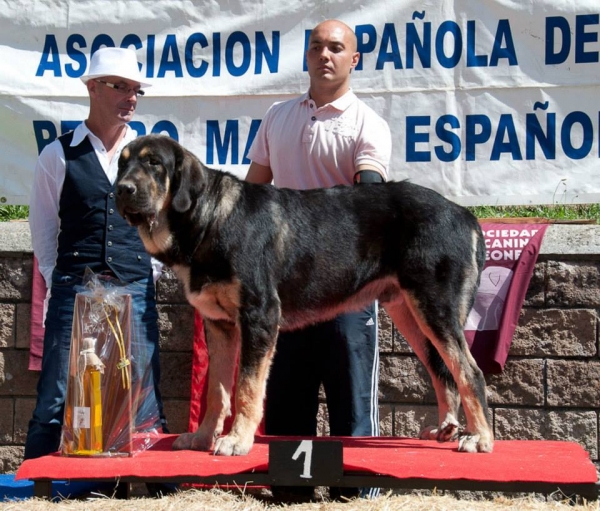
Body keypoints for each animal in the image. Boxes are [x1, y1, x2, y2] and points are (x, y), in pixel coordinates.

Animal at [116, 135, 492, 456]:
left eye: (154, 163)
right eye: (122, 164)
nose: (122, 189)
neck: (209, 220)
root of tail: (465, 214)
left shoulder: (260, 316)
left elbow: (246, 389)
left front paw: (237, 440)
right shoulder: (219, 325)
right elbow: (217, 391)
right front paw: (203, 437)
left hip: (434, 308)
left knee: (469, 372)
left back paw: (480, 438)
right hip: (410, 313)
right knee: (443, 371)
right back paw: (446, 428)